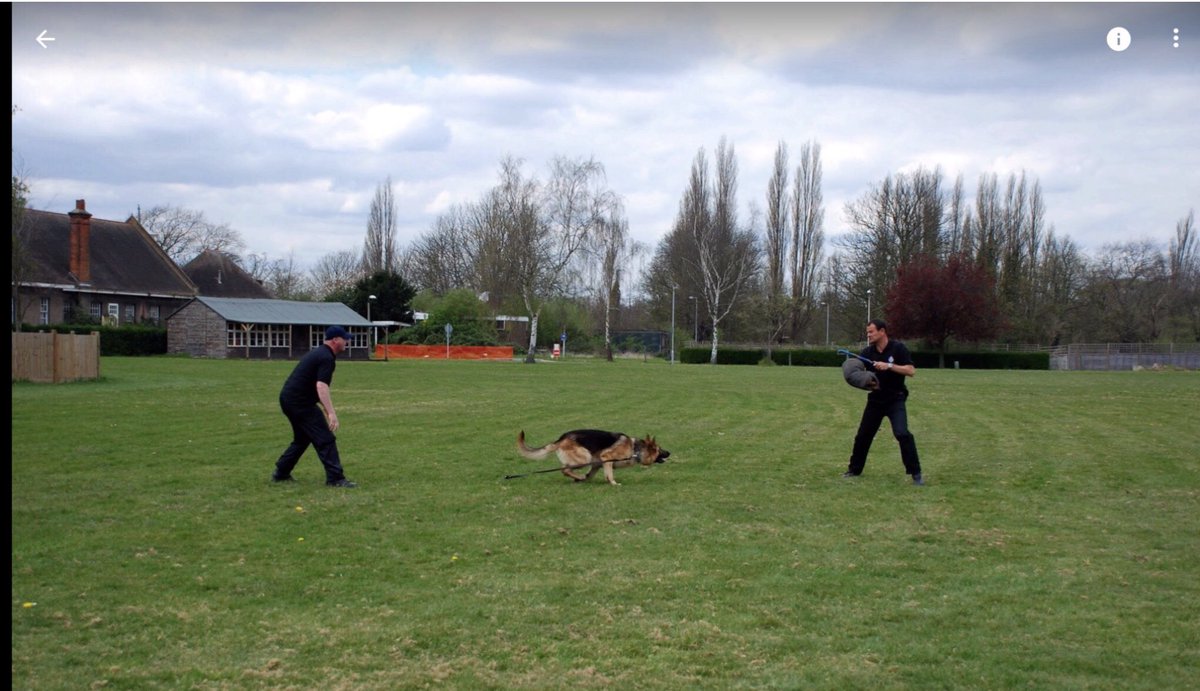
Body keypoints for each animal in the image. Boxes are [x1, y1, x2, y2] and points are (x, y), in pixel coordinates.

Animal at [513, 427, 672, 484]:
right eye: (659, 449)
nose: (670, 452)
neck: (635, 449)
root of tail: (562, 438)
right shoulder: (607, 458)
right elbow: (609, 475)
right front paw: (613, 483)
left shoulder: (597, 464)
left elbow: (591, 474)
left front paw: (583, 479)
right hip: (585, 458)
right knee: (565, 469)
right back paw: (577, 476)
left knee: (566, 469)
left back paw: (578, 478)